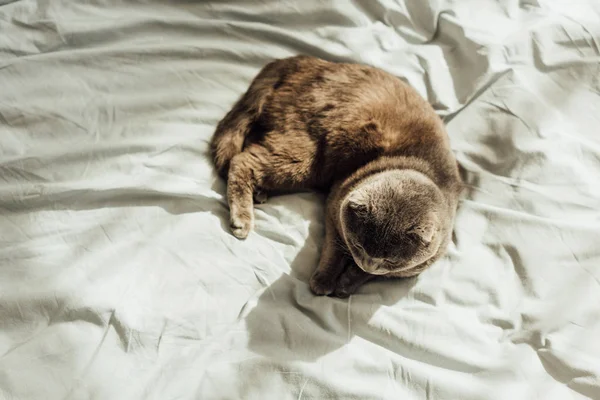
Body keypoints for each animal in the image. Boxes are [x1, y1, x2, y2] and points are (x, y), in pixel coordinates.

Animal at [211, 54, 464, 296]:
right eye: (360, 246)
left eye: (390, 260)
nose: (367, 263)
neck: (418, 166)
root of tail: (305, 60)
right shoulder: (335, 209)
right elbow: (333, 251)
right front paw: (324, 282)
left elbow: (371, 276)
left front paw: (347, 284)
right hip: (305, 153)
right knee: (243, 160)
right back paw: (242, 219)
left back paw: (260, 192)